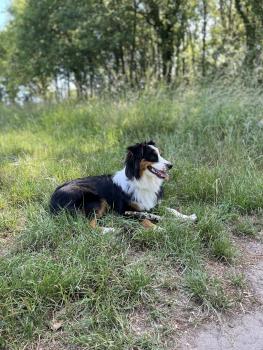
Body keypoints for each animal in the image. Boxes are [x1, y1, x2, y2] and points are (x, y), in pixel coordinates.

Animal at [50, 141, 197, 231]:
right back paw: (111, 230)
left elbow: (171, 210)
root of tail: (52, 200)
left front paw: (187, 217)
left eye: (160, 154)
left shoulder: (151, 204)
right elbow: (143, 219)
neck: (141, 180)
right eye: (153, 156)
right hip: (97, 200)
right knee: (88, 225)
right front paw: (158, 228)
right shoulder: (124, 211)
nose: (170, 165)